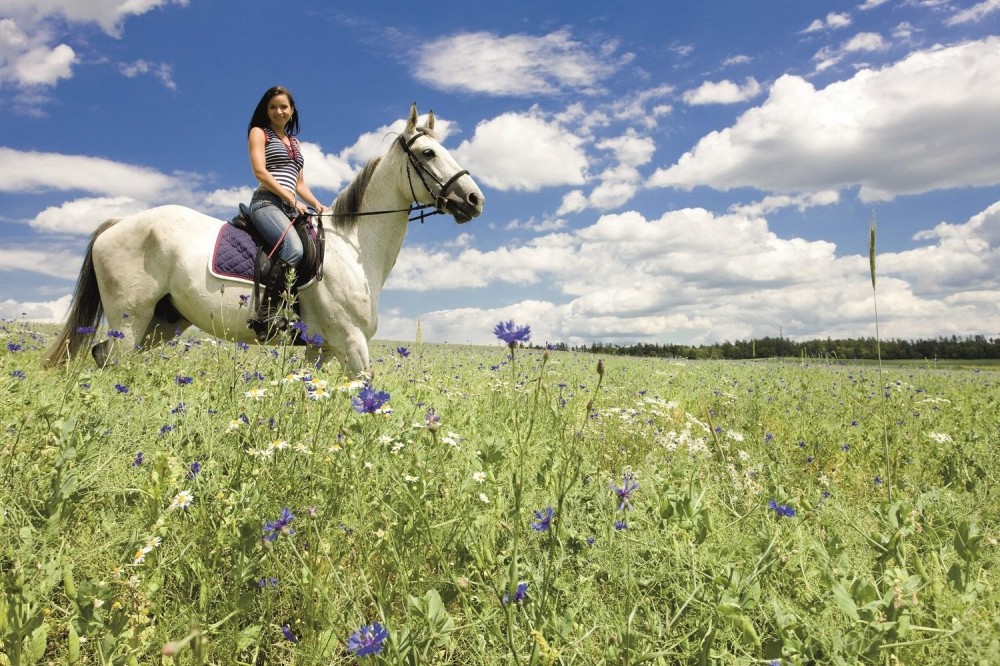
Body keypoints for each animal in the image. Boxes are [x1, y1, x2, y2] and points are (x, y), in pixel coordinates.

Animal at [43, 105, 484, 374]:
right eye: (428, 154)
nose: (474, 200)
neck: (354, 249)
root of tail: (117, 224)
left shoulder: (320, 348)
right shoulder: (351, 343)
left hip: (161, 323)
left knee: (107, 357)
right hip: (130, 319)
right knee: (111, 359)